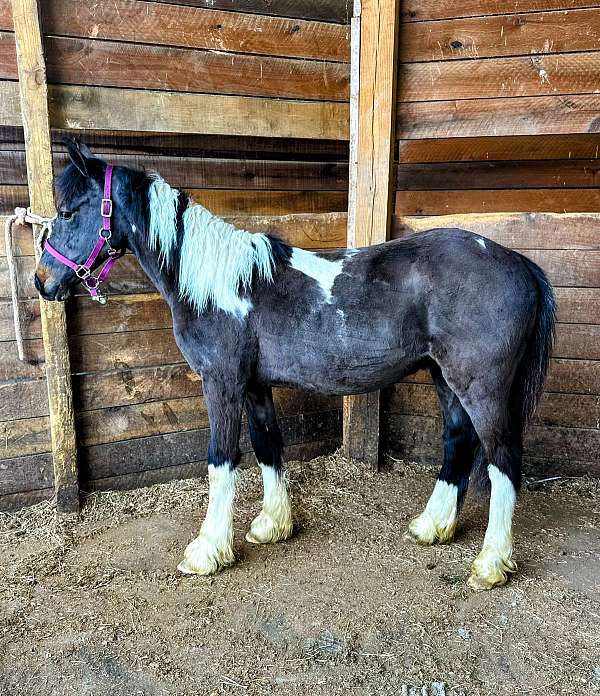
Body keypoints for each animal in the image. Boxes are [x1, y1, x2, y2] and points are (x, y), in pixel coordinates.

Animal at [32, 139, 556, 588]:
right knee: (458, 443)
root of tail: (519, 263)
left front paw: (207, 550)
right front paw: (272, 525)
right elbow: (268, 446)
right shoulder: (254, 385)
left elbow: (222, 459)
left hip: (481, 387)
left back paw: (490, 563)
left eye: (67, 212)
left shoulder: (221, 383)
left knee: (503, 460)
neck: (220, 284)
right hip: (444, 378)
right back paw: (432, 526)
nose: (42, 280)